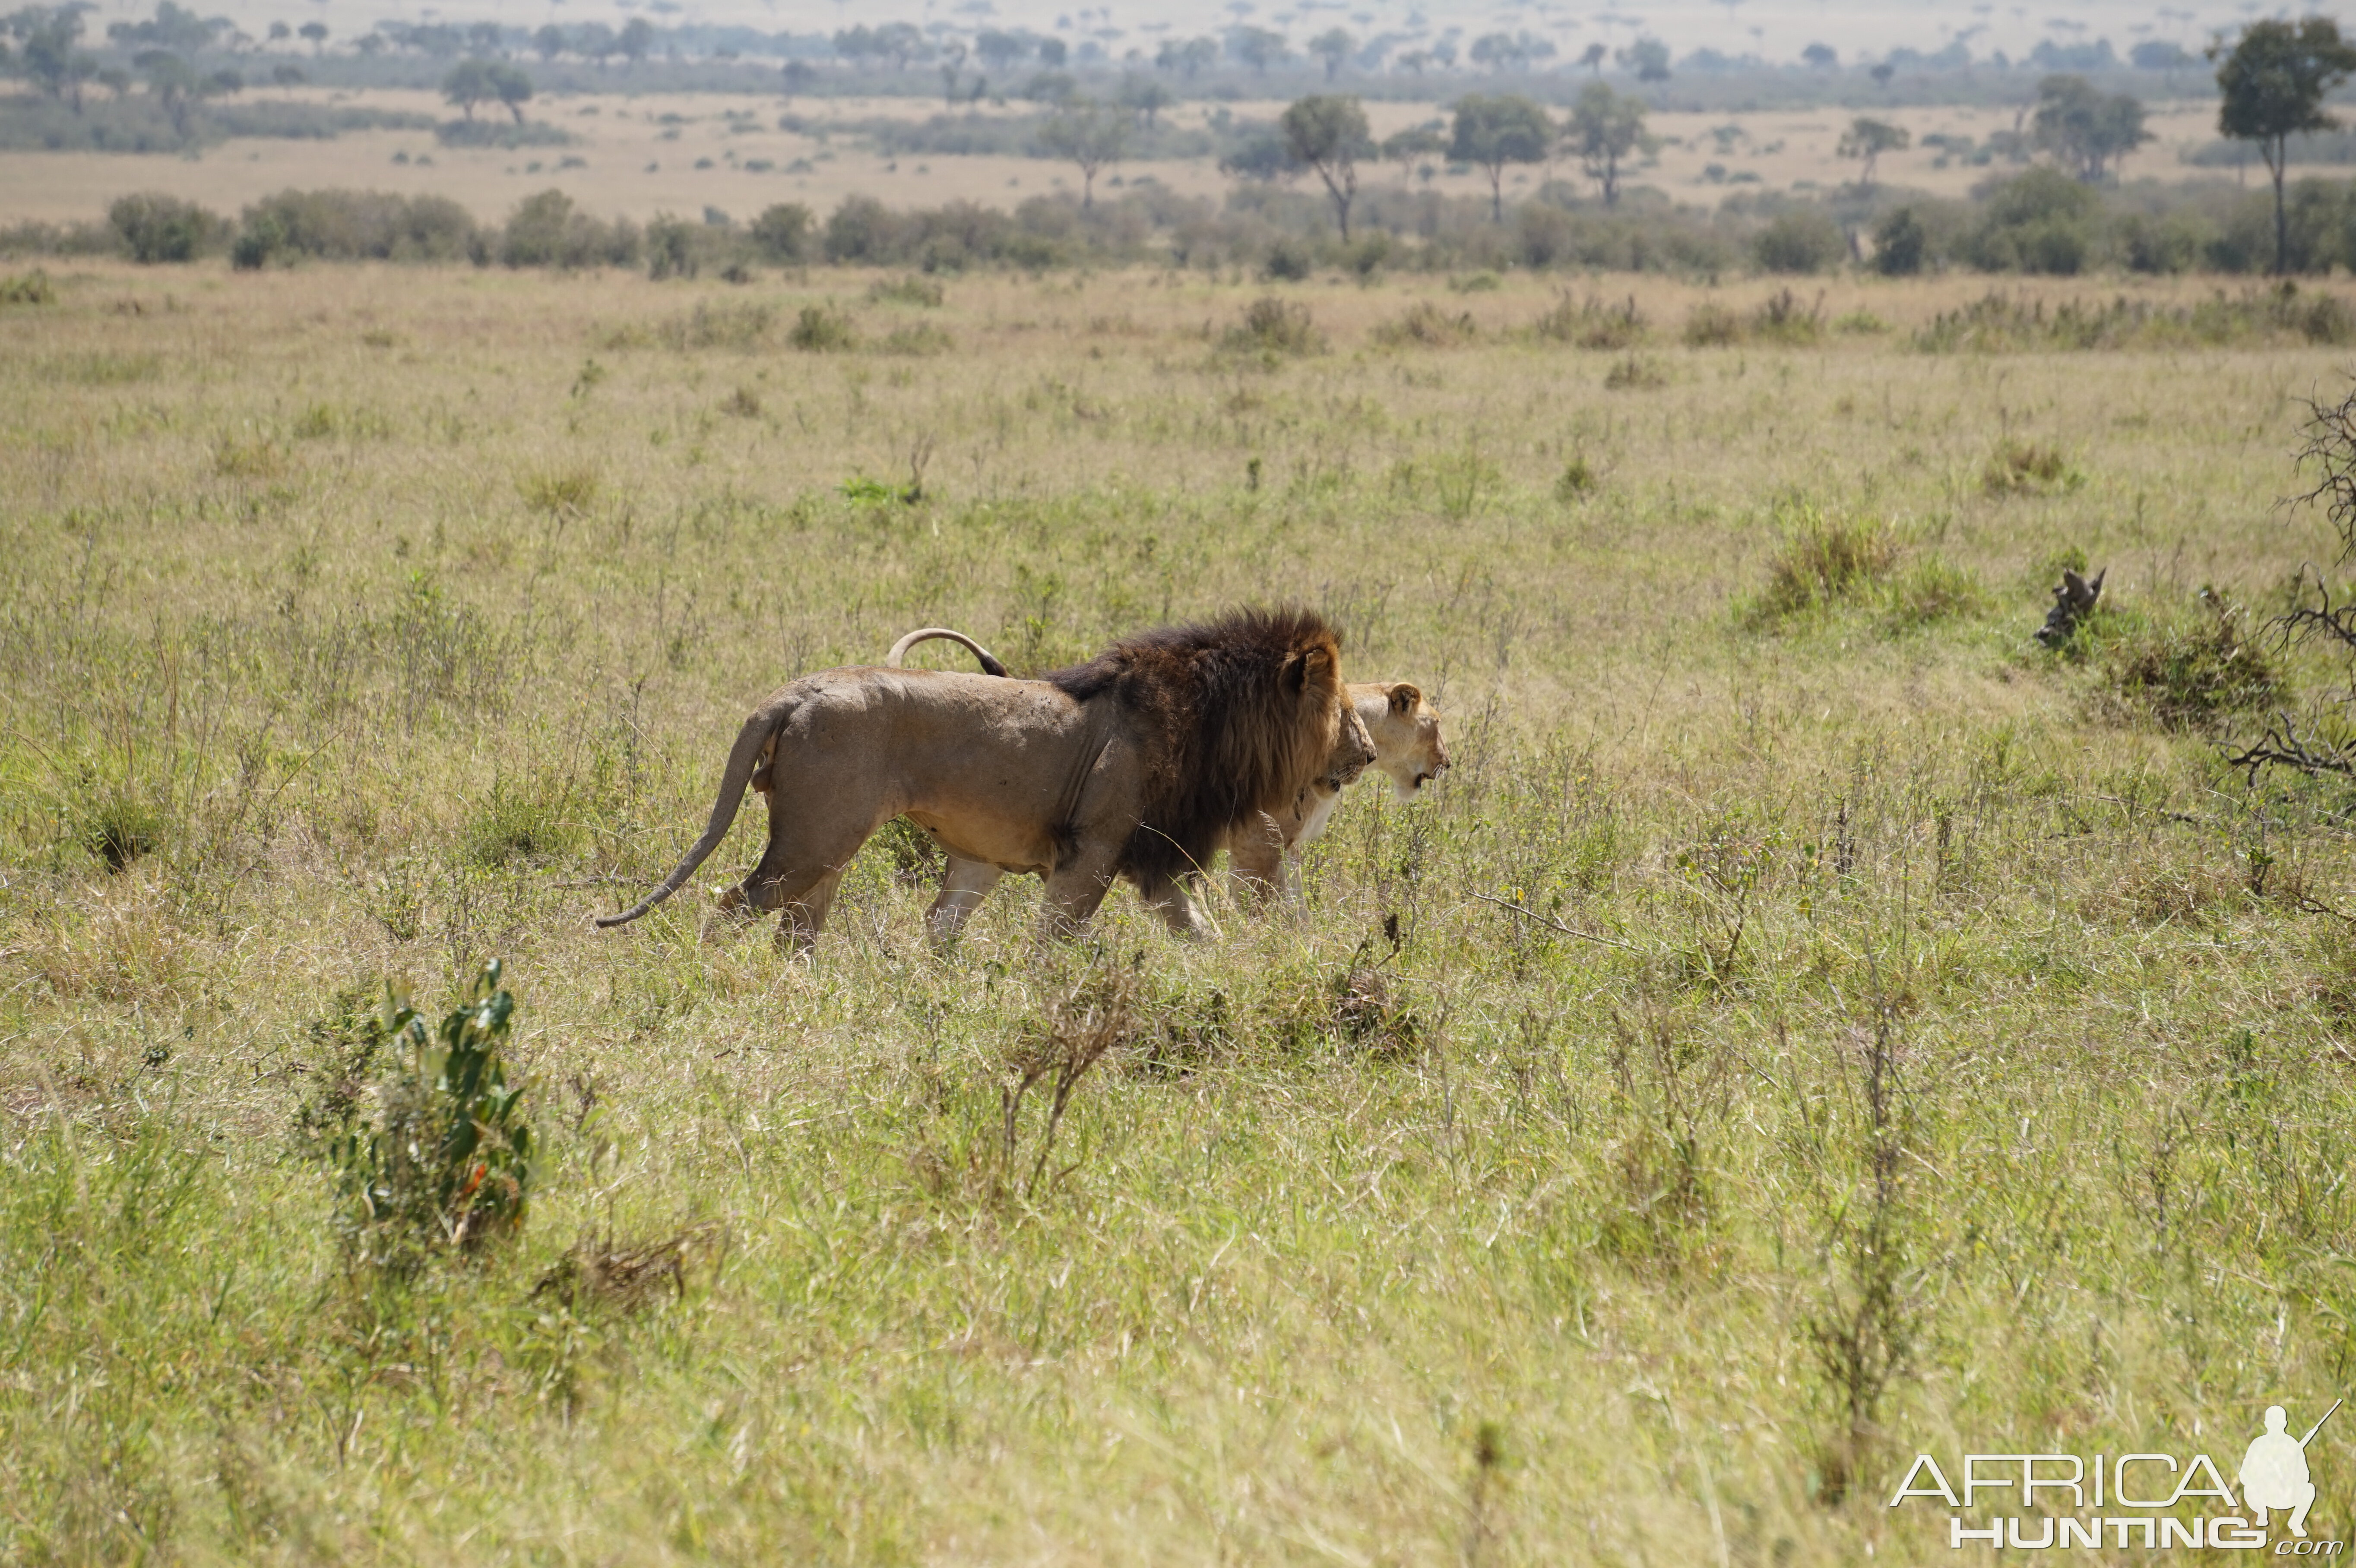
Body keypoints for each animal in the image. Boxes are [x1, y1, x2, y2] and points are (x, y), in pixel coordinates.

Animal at [598, 603, 1376, 946]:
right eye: (1343, 706)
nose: (1368, 752)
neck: (1211, 724)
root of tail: (794, 693)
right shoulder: (1094, 852)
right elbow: (1052, 945)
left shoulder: (1137, 863)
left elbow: (1201, 936)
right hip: (812, 841)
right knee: (728, 906)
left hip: (828, 848)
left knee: (797, 928)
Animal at [886, 626, 1432, 942]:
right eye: (1341, 710)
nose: (1367, 753)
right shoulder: (1252, 844)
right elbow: (1262, 907)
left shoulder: (1171, 855)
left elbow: (1233, 923)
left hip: (982, 852)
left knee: (942, 918)